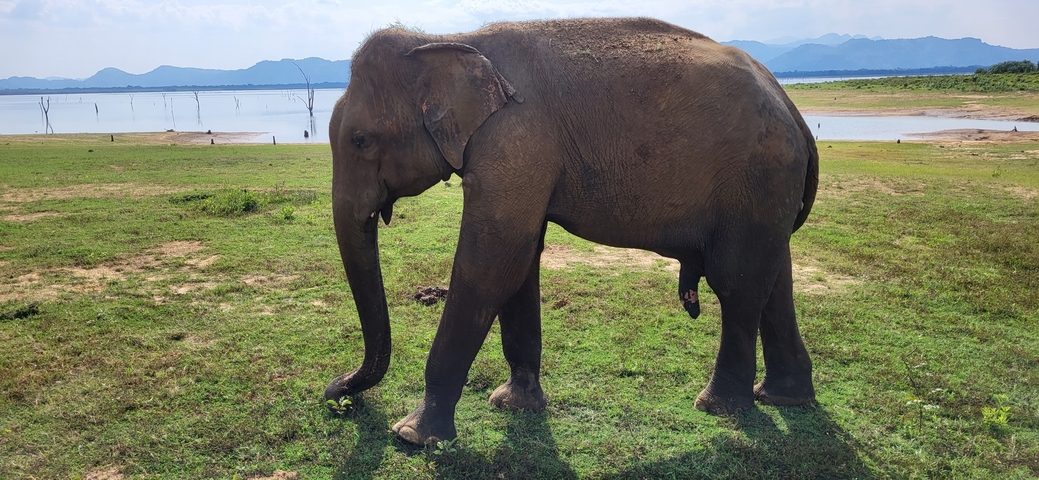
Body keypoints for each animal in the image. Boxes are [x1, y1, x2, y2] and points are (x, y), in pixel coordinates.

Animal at [325, 17, 819, 445]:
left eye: (360, 140)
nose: (336, 394)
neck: (447, 40)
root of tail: (793, 109)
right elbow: (520, 259)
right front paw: (514, 404)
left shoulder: (517, 138)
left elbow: (493, 260)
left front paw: (411, 436)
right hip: (767, 192)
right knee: (774, 280)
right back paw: (783, 397)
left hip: (757, 177)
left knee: (736, 283)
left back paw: (718, 407)